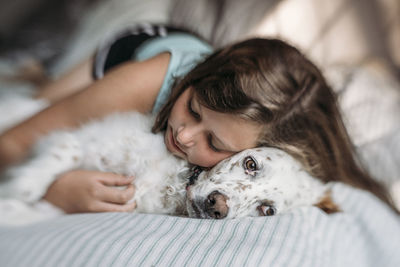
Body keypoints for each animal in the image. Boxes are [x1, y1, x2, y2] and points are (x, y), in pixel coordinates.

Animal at [0, 111, 340, 224]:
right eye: (250, 163)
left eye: (267, 210)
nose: (217, 206)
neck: (170, 184)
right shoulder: (81, 140)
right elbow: (60, 159)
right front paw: (21, 184)